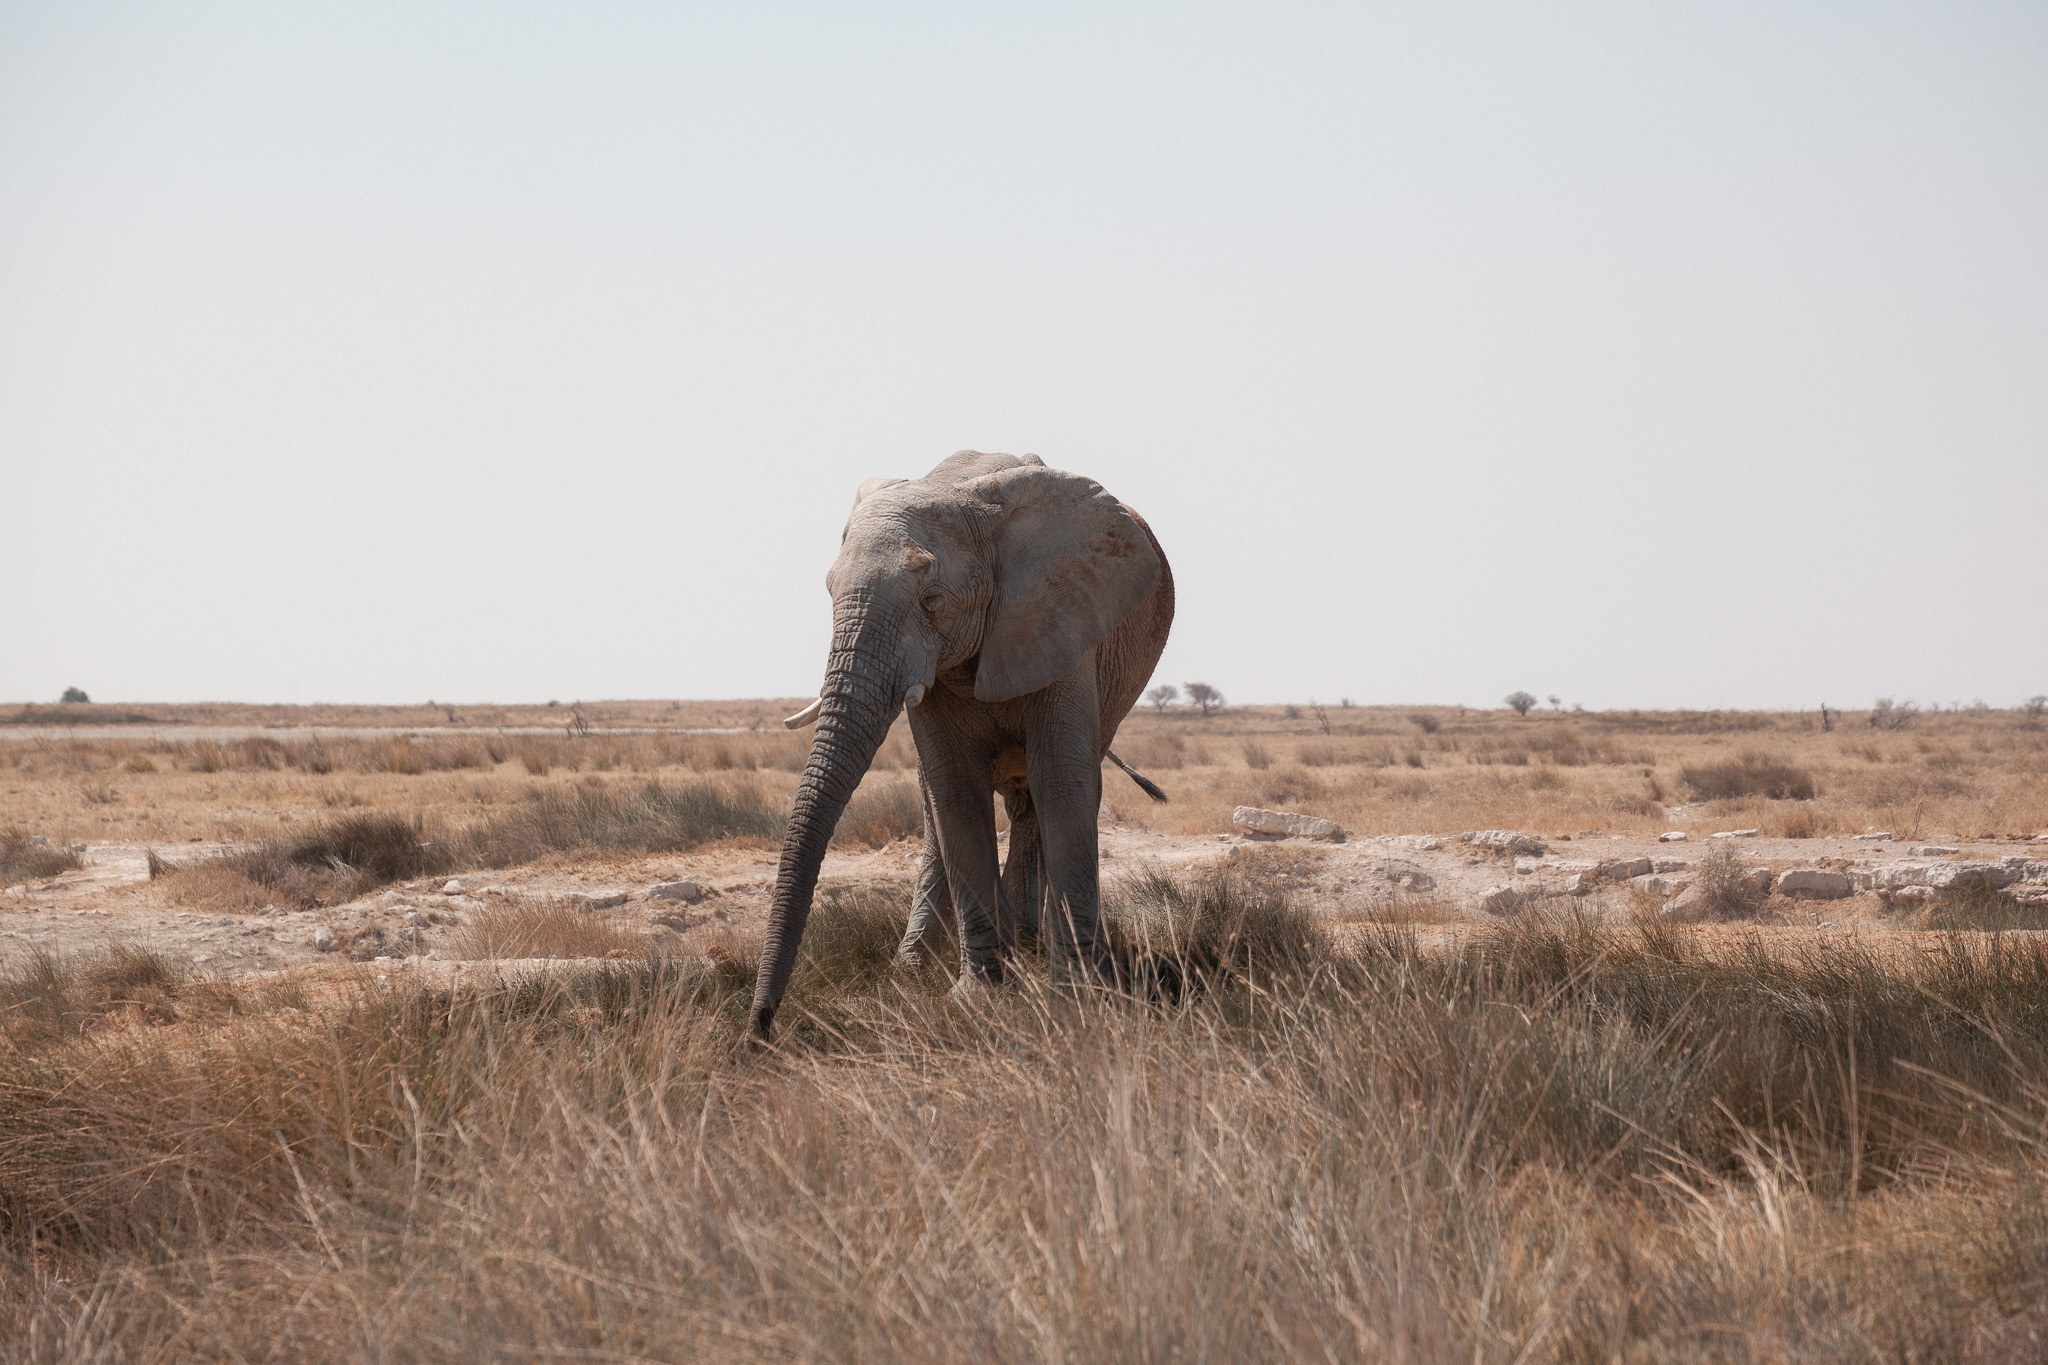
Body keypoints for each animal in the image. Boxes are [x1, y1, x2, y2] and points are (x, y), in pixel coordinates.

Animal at [749, 450, 1174, 1042]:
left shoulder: (1065, 618)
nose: (760, 1029)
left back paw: (1032, 946)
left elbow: (1062, 782)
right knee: (941, 810)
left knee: (1043, 795)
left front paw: (1082, 999)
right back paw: (918, 966)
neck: (961, 492)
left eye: (932, 601)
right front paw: (982, 1000)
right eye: (830, 594)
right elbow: (954, 789)